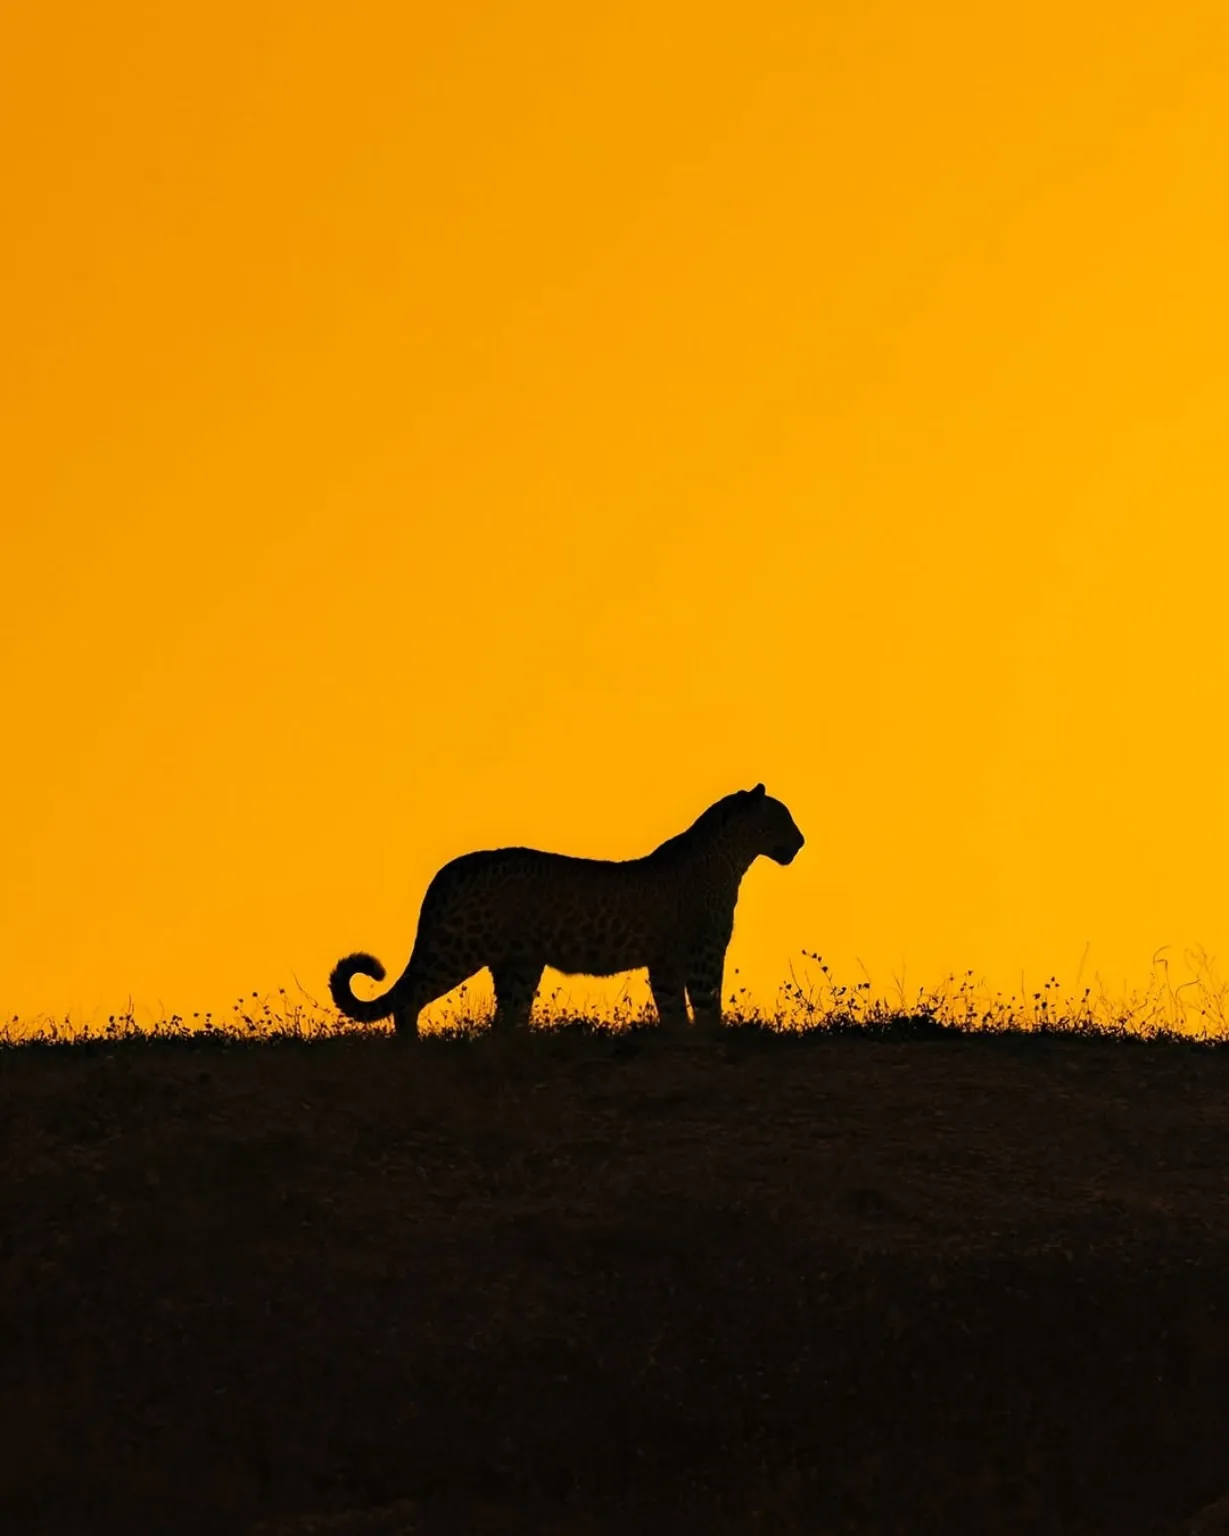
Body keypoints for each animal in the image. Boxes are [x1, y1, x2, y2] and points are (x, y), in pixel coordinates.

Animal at [328, 782, 804, 1038]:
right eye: (781, 817)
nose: (801, 841)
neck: (731, 856)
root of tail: (449, 871)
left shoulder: (666, 961)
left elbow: (672, 1008)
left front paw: (681, 1039)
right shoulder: (703, 955)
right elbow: (707, 1004)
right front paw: (711, 1036)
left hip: (518, 963)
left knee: (507, 1017)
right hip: (456, 948)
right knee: (409, 997)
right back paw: (413, 1045)